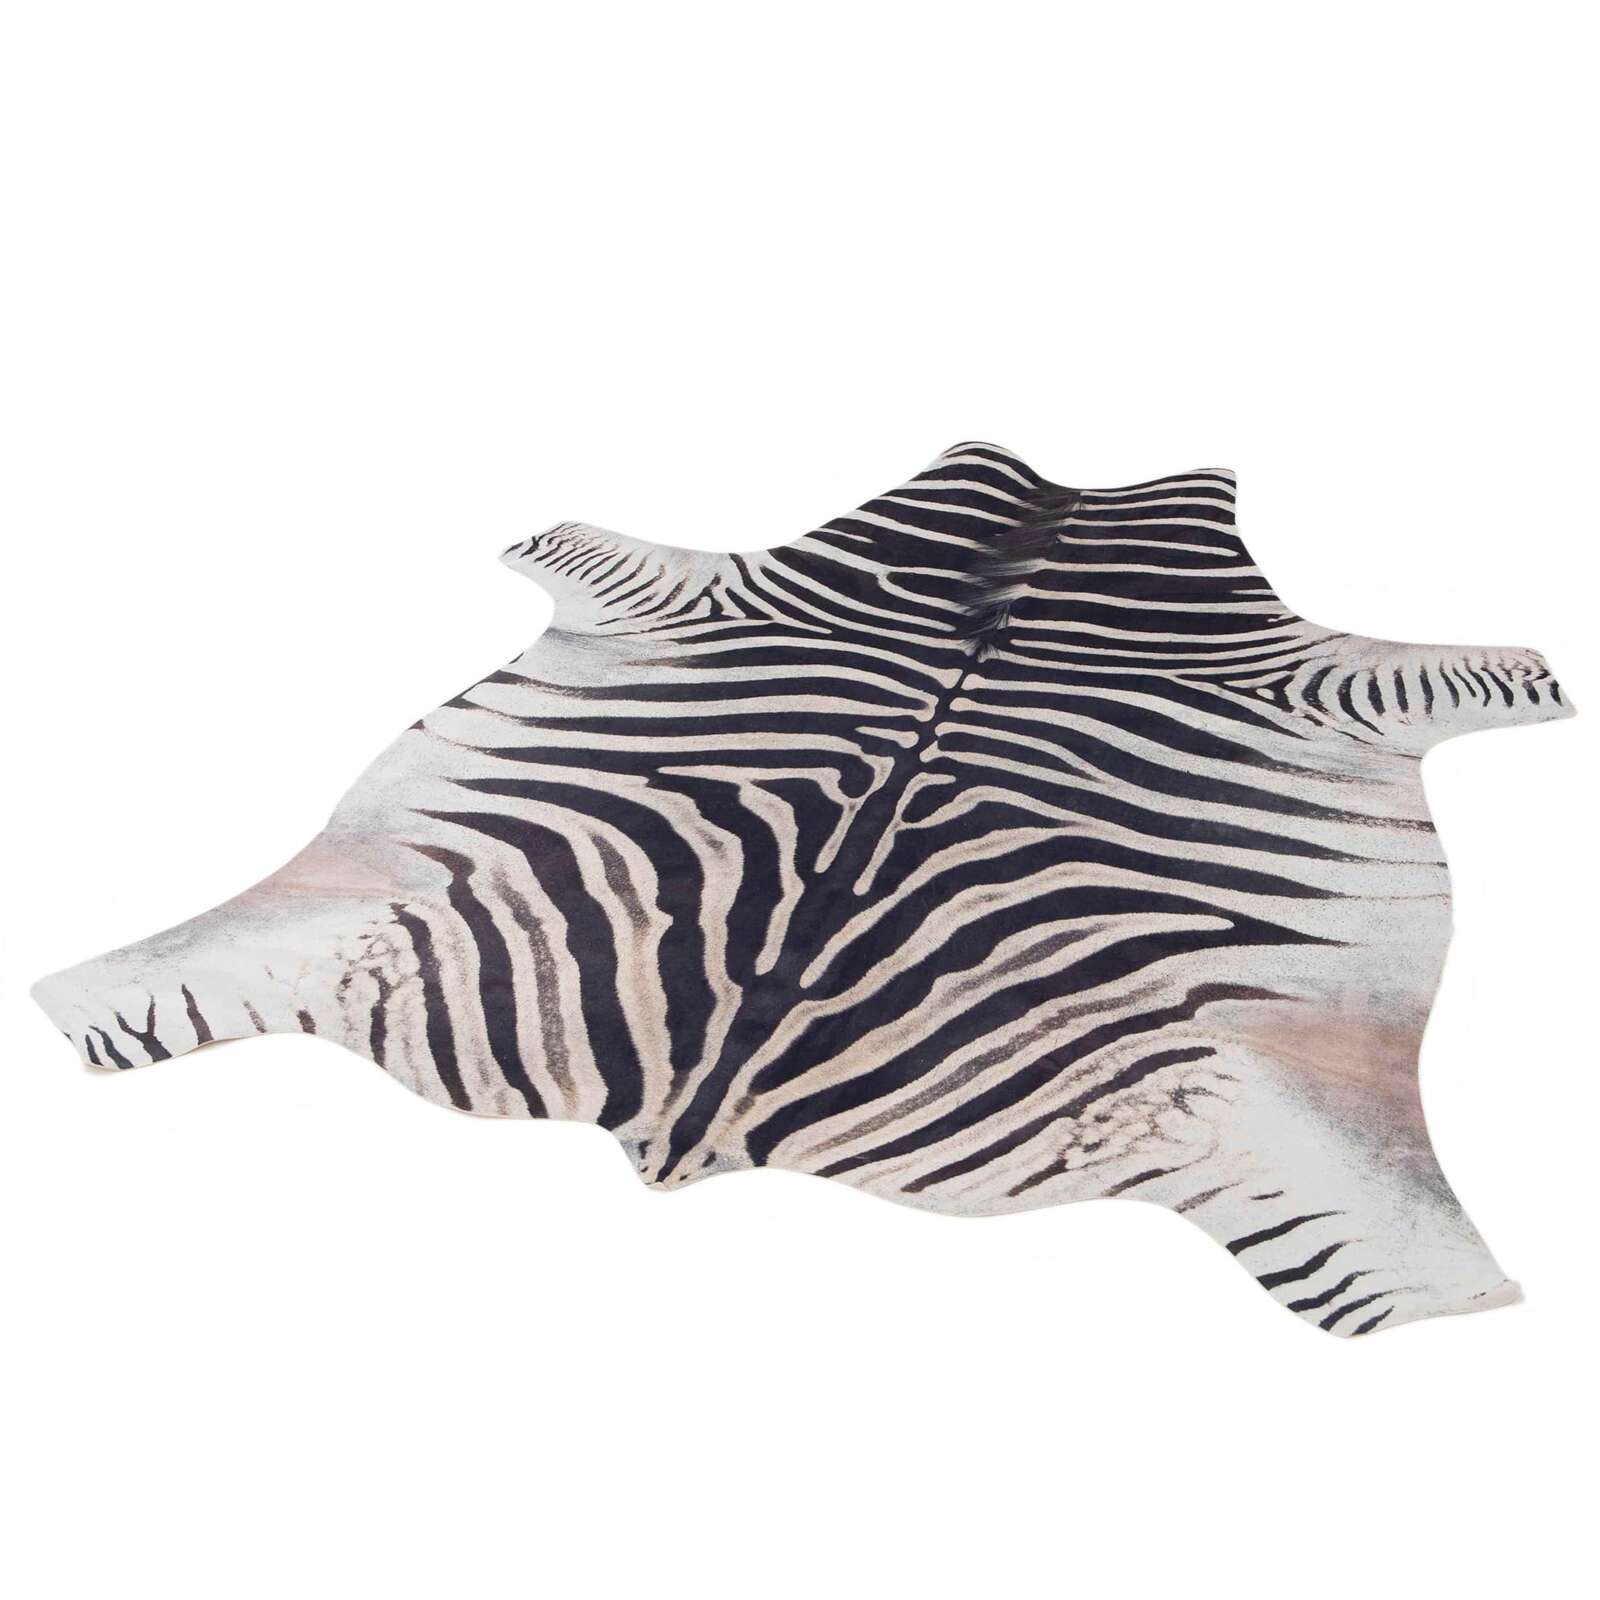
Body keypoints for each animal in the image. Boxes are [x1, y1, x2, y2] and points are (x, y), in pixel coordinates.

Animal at [32, 443, 1574, 1336]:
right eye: (978, 460)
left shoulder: (1319, 680)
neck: (1024, 569)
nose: (1074, 479)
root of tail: (697, 1106)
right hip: (364, 892)